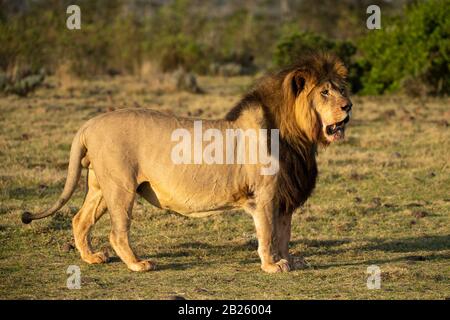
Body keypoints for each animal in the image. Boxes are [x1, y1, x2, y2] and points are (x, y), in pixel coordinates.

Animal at [21, 52, 352, 272]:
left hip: (101, 186)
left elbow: (284, 232)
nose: (349, 106)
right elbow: (268, 232)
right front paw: (272, 265)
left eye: (341, 89)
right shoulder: (265, 194)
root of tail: (88, 124)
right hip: (121, 187)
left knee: (80, 219)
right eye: (324, 92)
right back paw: (138, 264)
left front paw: (290, 259)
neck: (299, 138)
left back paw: (91, 258)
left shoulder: (285, 194)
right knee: (117, 231)